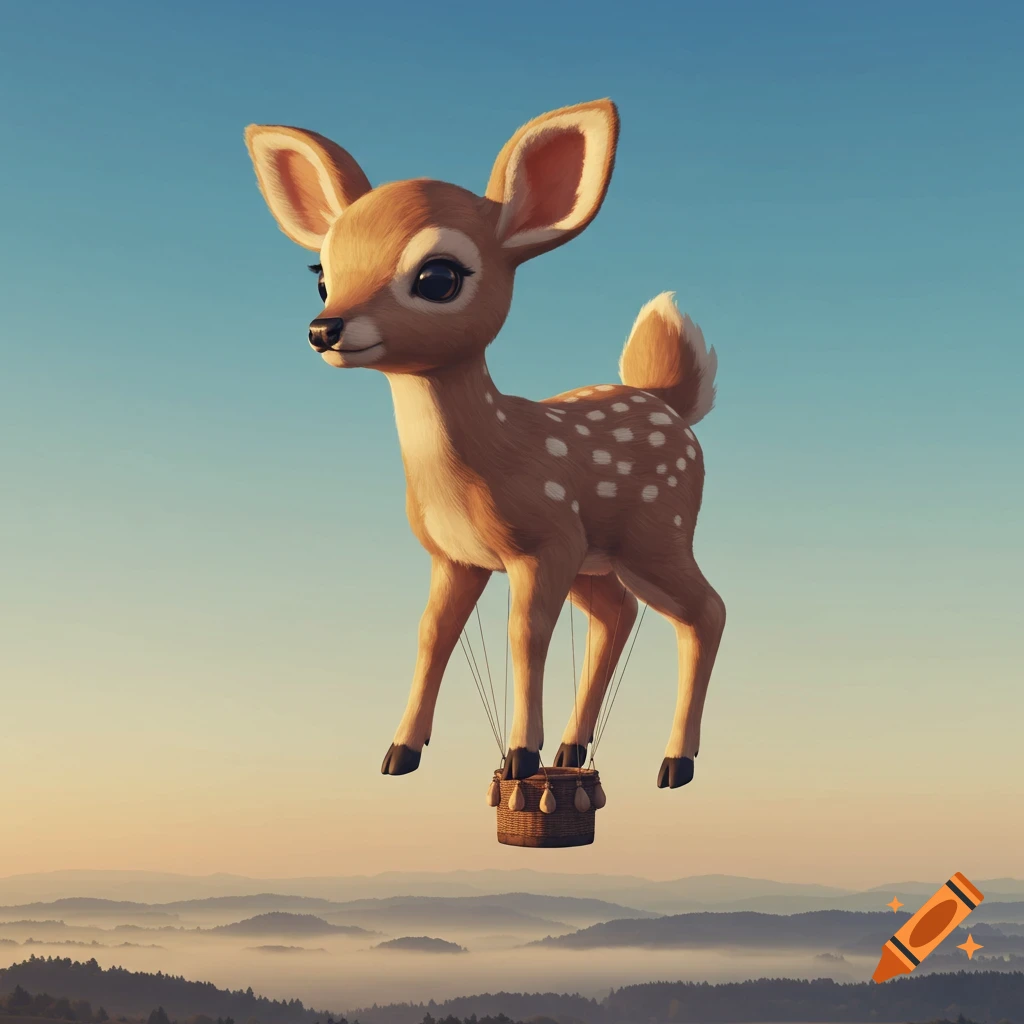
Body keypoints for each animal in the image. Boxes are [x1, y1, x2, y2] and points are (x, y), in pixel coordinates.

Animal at [244, 98, 725, 788]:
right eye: (321, 276)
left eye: (438, 277)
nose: (324, 328)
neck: (485, 458)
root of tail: (668, 400)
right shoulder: (457, 557)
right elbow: (431, 635)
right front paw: (402, 750)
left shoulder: (543, 543)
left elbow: (524, 637)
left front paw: (520, 754)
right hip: (595, 558)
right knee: (616, 615)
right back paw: (573, 750)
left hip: (657, 532)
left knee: (706, 612)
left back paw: (673, 762)